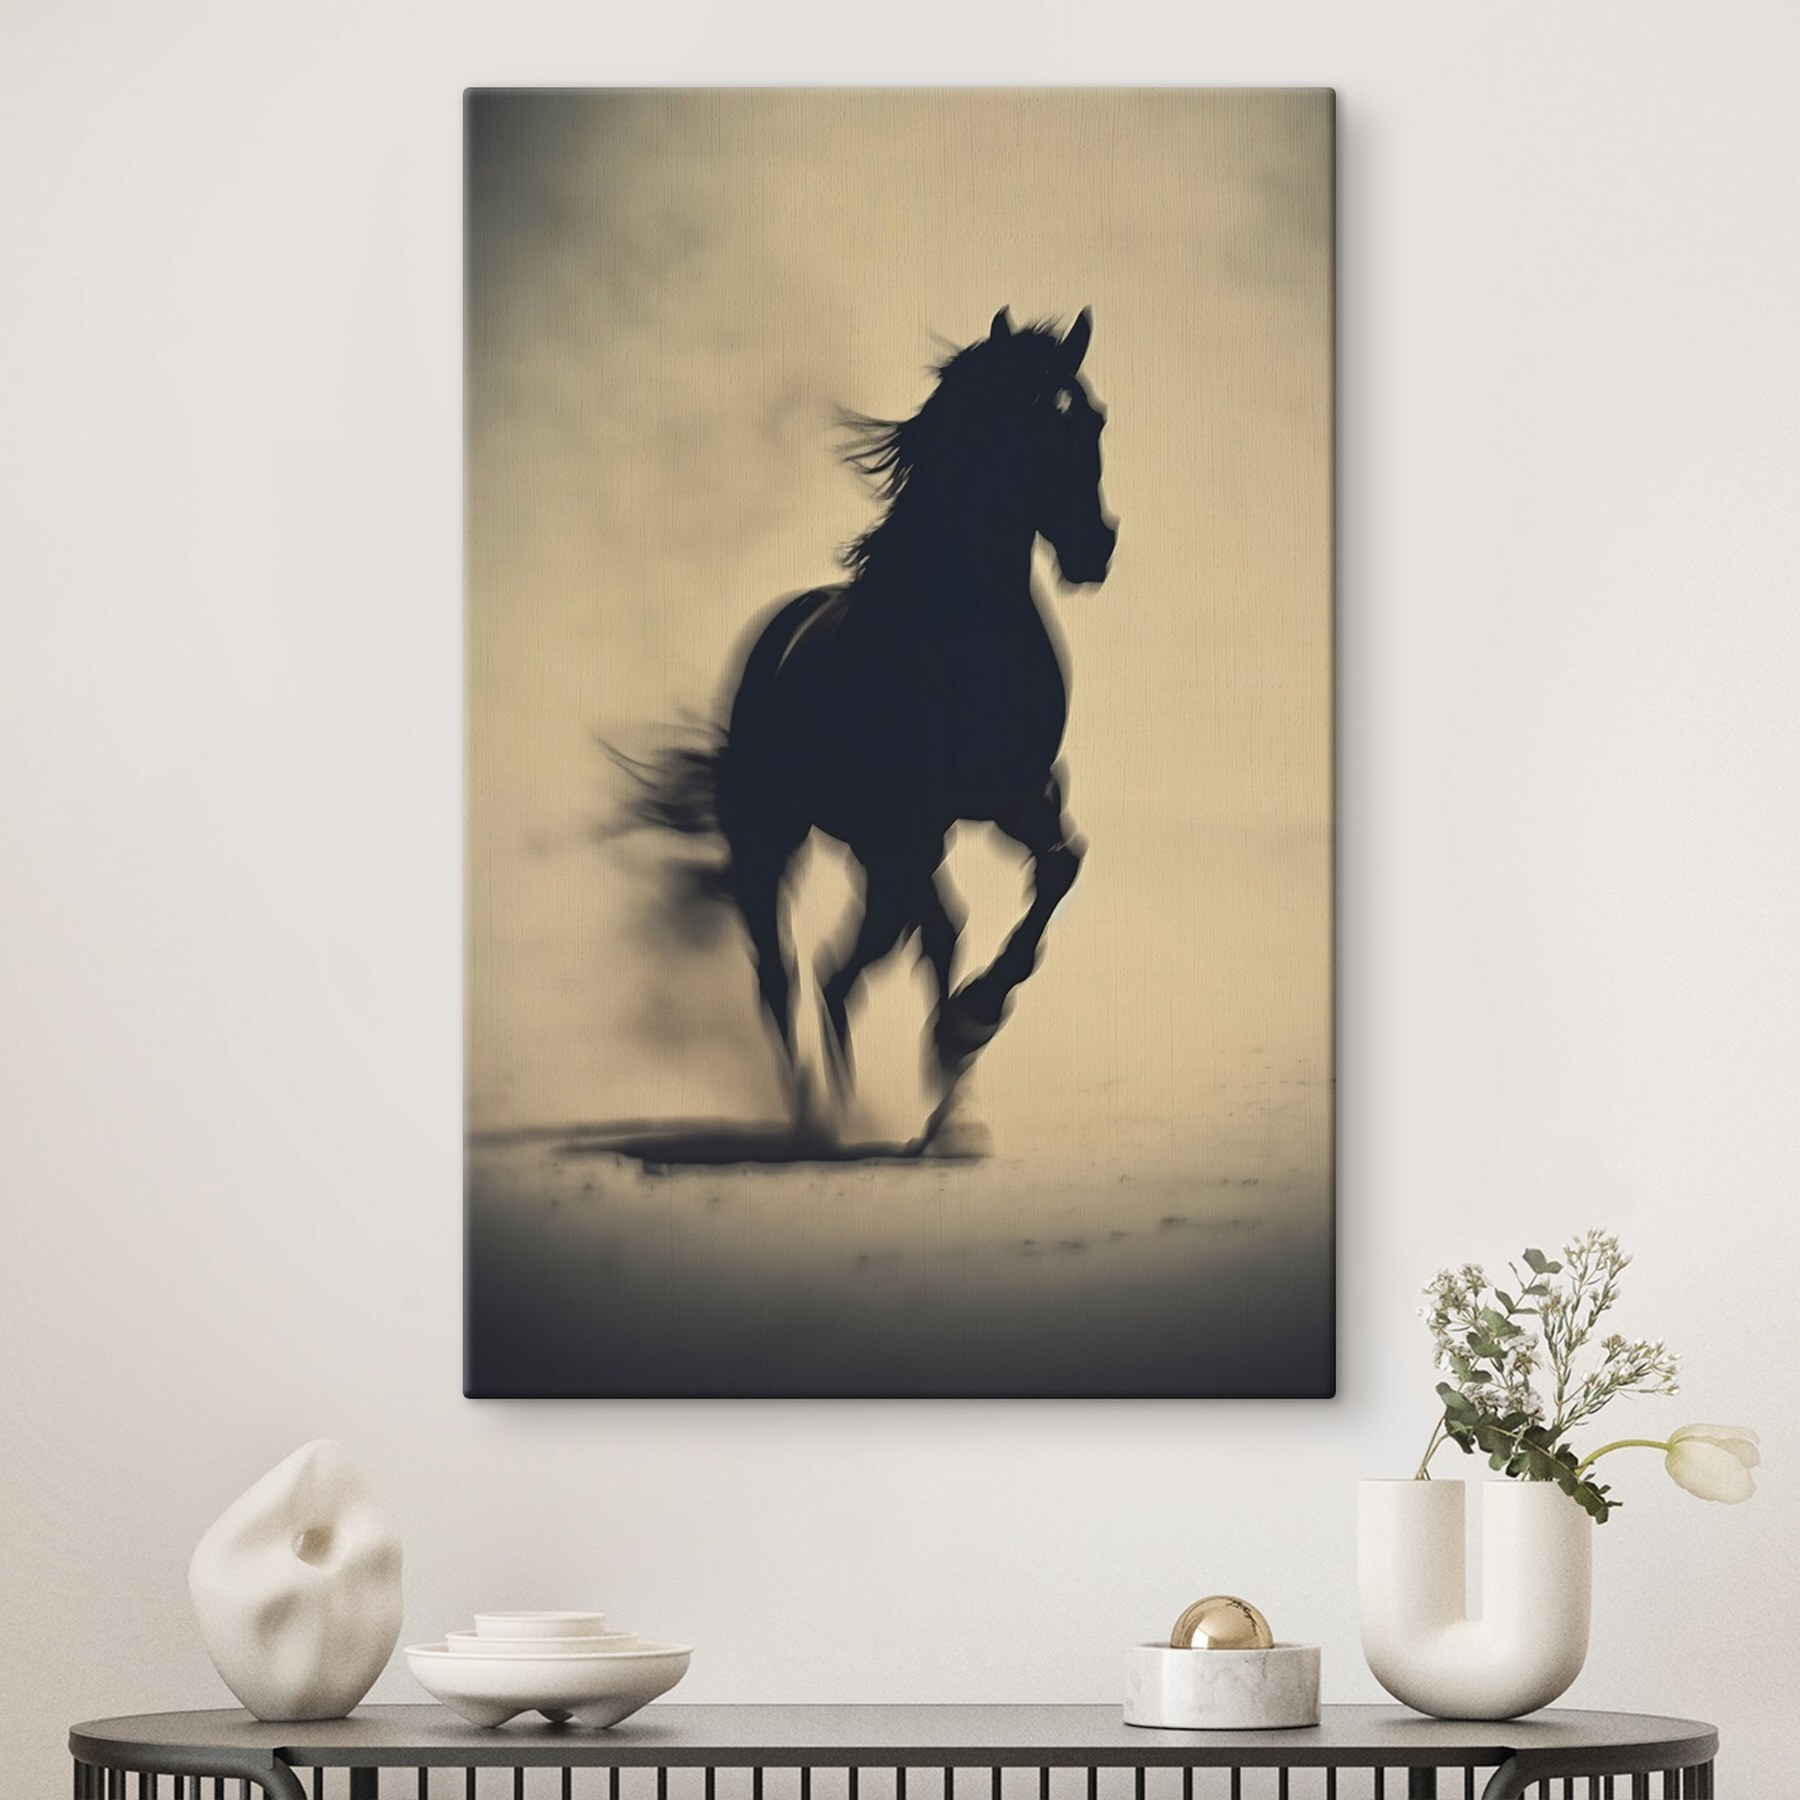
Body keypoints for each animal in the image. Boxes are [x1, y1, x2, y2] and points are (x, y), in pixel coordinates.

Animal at [623, 306, 1118, 1142]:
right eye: (1023, 422)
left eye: (1092, 419)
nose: (1096, 546)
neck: (963, 637)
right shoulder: (910, 822)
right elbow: (945, 931)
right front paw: (966, 1026)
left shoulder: (1017, 797)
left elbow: (1058, 869)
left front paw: (973, 1026)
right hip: (780, 841)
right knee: (789, 973)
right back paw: (821, 1114)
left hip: (883, 852)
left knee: (849, 965)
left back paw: (916, 1103)